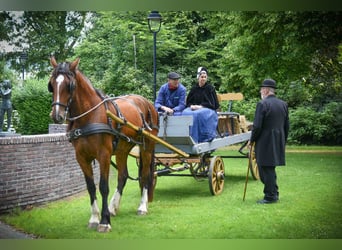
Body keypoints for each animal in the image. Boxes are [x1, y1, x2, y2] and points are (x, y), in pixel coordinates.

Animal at [47, 57, 159, 232]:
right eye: (51, 84)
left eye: (69, 85)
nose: (56, 115)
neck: (89, 116)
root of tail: (147, 103)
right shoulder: (81, 157)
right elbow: (91, 187)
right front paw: (94, 218)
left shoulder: (104, 155)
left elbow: (103, 186)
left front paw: (105, 221)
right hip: (122, 149)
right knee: (123, 176)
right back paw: (114, 207)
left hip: (147, 147)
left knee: (146, 175)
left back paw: (142, 207)